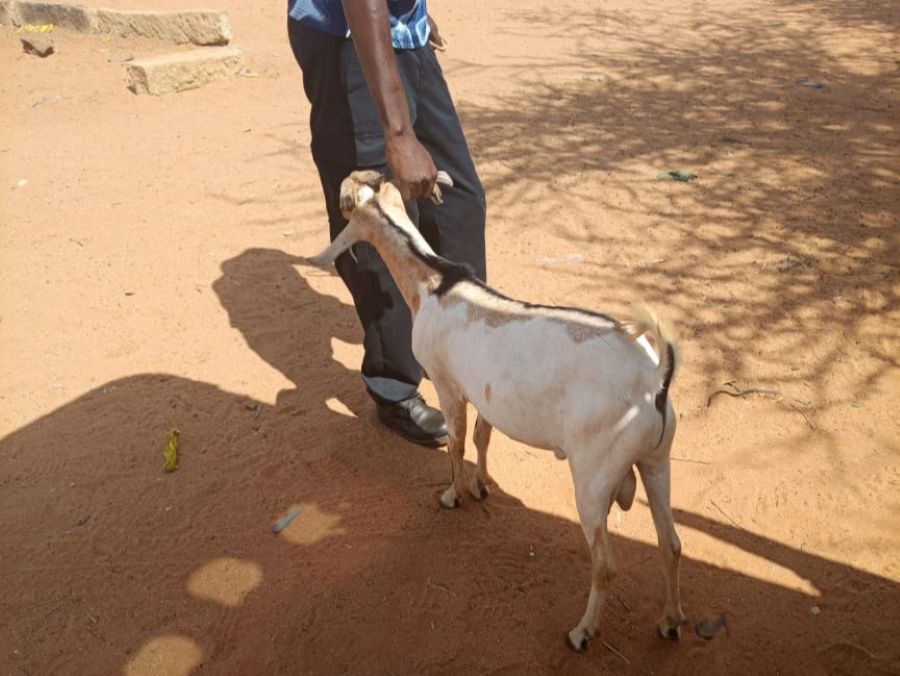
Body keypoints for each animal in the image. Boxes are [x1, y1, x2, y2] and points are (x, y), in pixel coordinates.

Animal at [307, 170, 685, 651]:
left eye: (346, 206)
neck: (435, 283)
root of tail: (654, 380)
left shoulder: (447, 384)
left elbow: (455, 443)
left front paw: (453, 495)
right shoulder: (481, 392)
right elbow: (482, 437)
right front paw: (482, 485)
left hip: (594, 475)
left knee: (605, 564)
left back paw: (582, 632)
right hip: (657, 461)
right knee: (670, 543)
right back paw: (671, 621)